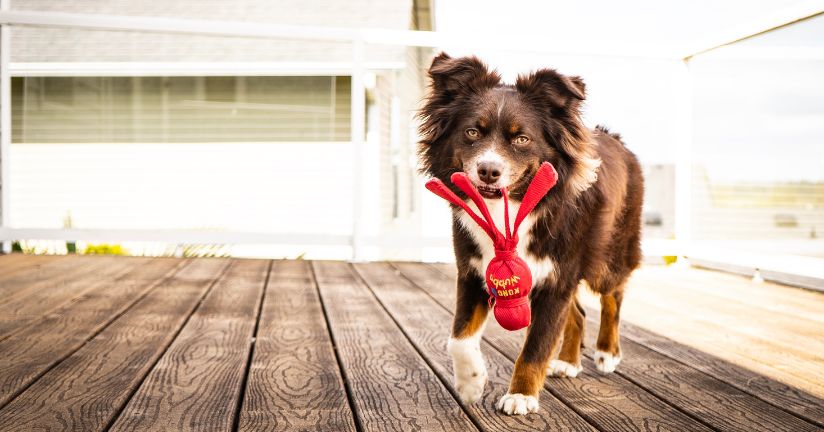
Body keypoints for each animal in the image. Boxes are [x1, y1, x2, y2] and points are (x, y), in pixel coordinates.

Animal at [418, 54, 644, 416]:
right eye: (472, 132)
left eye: (521, 139)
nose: (489, 171)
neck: (509, 209)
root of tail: (616, 139)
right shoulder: (472, 271)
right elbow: (458, 338)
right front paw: (471, 382)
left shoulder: (557, 279)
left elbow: (536, 346)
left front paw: (521, 395)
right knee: (578, 314)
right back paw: (567, 362)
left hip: (607, 256)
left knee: (613, 295)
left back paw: (607, 352)